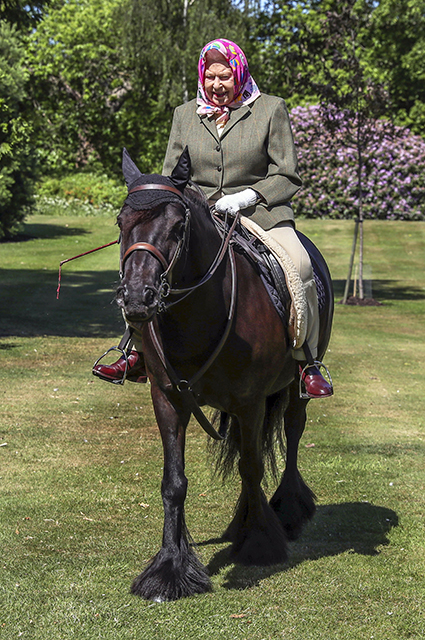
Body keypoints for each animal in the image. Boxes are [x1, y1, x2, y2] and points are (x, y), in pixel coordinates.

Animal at [115, 148, 332, 604]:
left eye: (177, 227)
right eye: (121, 223)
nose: (138, 298)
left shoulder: (250, 401)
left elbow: (251, 468)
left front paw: (260, 542)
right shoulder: (168, 399)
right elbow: (174, 482)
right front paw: (170, 568)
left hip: (297, 387)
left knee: (293, 433)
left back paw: (287, 510)